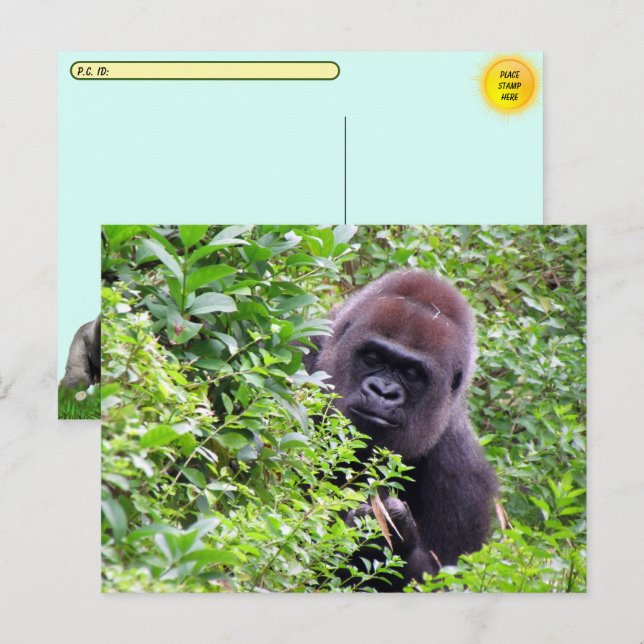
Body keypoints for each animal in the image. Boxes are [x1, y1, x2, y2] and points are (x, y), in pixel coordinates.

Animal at [305, 271, 497, 590]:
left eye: (411, 374)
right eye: (372, 359)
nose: (383, 392)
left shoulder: (464, 476)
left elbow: (444, 579)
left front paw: (394, 536)